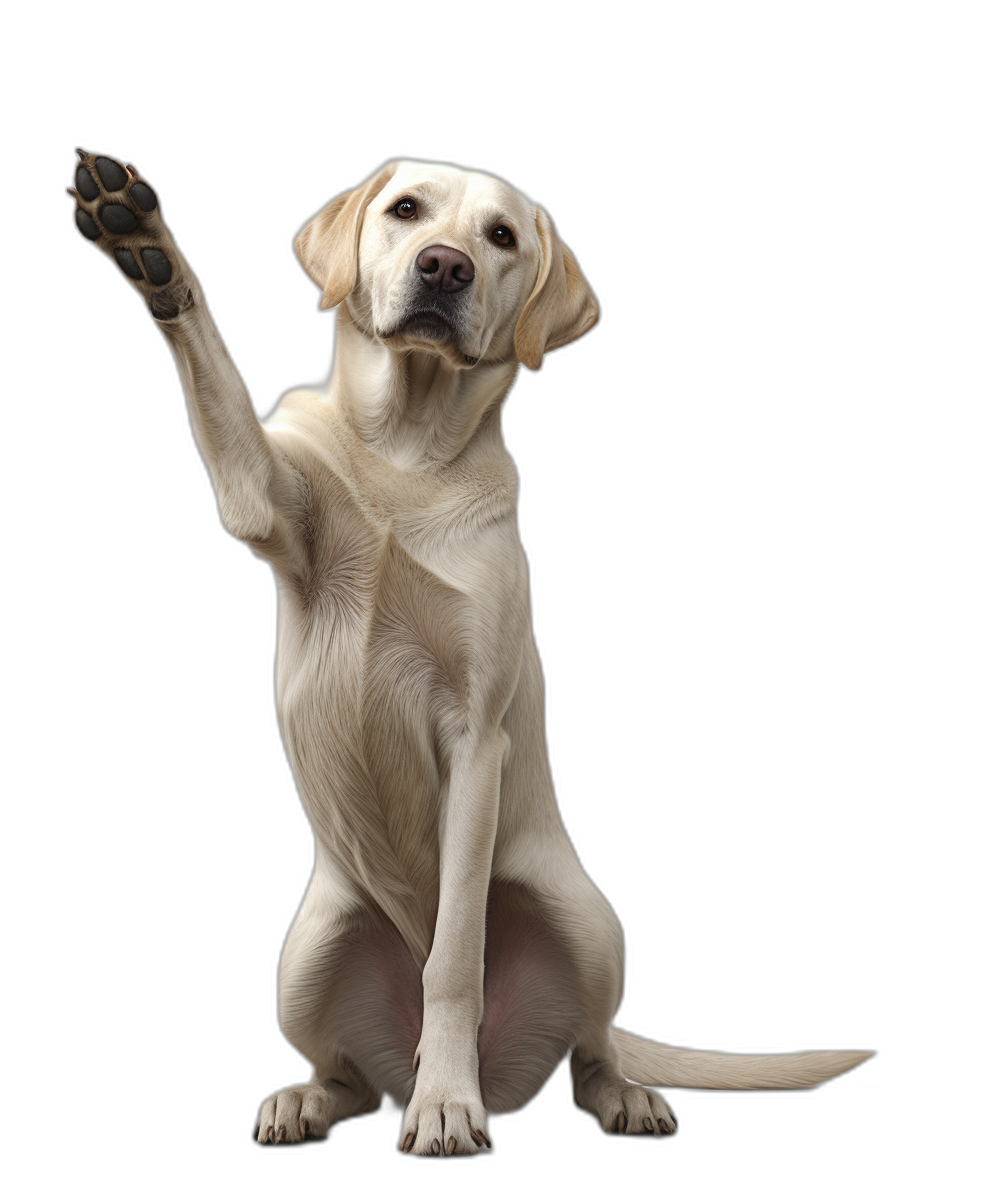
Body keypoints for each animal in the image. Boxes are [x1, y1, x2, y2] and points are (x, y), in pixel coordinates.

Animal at [71, 150, 876, 1155]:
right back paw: (307, 1102)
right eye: (406, 210)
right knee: (348, 1077)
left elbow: (454, 956)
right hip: (307, 957)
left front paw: (447, 1104)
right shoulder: (261, 498)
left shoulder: (474, 739)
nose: (444, 266)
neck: (407, 453)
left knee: (590, 1045)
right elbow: (213, 369)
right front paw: (140, 240)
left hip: (584, 923)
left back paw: (616, 1097)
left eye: (500, 236)